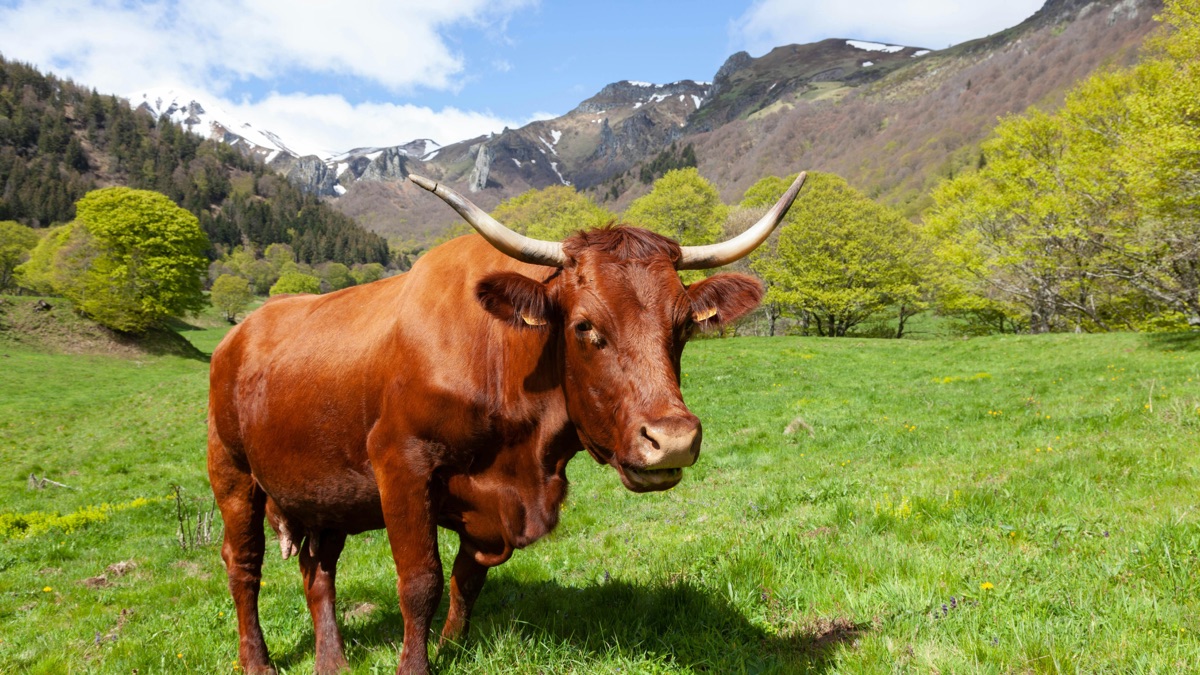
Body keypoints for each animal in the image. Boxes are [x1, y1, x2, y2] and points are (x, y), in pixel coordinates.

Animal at [207, 171, 807, 674]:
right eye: (586, 326)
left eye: (683, 326)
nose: (674, 440)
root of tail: (242, 330)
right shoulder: (400, 463)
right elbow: (420, 581)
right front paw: (417, 665)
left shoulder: (491, 506)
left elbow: (466, 579)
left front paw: (450, 647)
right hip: (232, 473)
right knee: (244, 567)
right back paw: (257, 662)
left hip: (322, 492)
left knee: (319, 571)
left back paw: (332, 662)